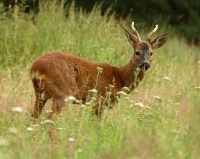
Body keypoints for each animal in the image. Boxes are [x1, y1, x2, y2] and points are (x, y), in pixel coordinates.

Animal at [30, 22, 169, 119]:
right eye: (137, 52)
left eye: (151, 53)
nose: (146, 64)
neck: (119, 77)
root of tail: (35, 67)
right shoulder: (99, 101)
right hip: (62, 92)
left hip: (40, 93)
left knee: (34, 118)